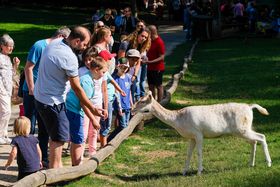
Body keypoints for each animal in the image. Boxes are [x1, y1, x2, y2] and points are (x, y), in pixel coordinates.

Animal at [133, 92, 272, 175]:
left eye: (142, 101)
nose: (132, 109)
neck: (178, 120)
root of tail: (250, 107)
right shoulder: (191, 137)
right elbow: (188, 153)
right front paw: (184, 172)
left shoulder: (198, 133)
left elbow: (199, 152)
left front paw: (199, 171)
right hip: (244, 129)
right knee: (254, 141)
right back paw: (251, 164)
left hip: (242, 129)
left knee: (262, 137)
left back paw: (269, 163)